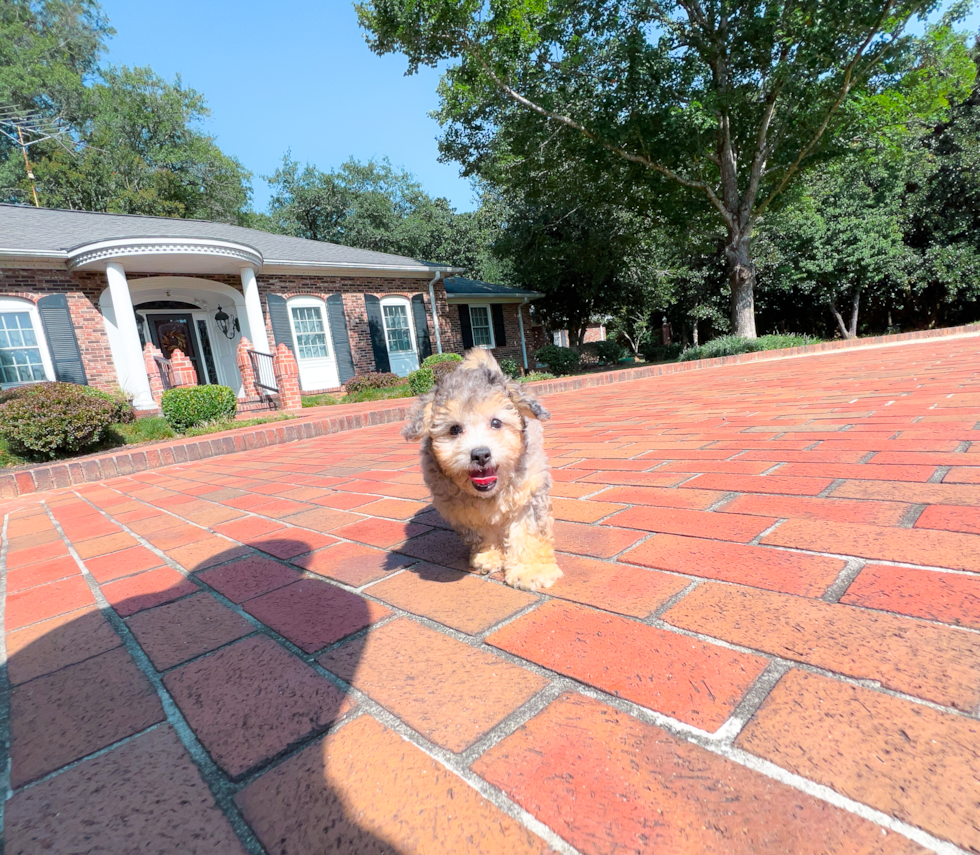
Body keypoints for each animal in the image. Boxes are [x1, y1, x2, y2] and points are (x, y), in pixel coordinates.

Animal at [402, 352, 564, 592]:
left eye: (496, 422)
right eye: (454, 429)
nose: (480, 455)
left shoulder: (529, 492)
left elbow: (530, 532)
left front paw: (530, 570)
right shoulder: (461, 508)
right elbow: (480, 531)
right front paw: (489, 555)